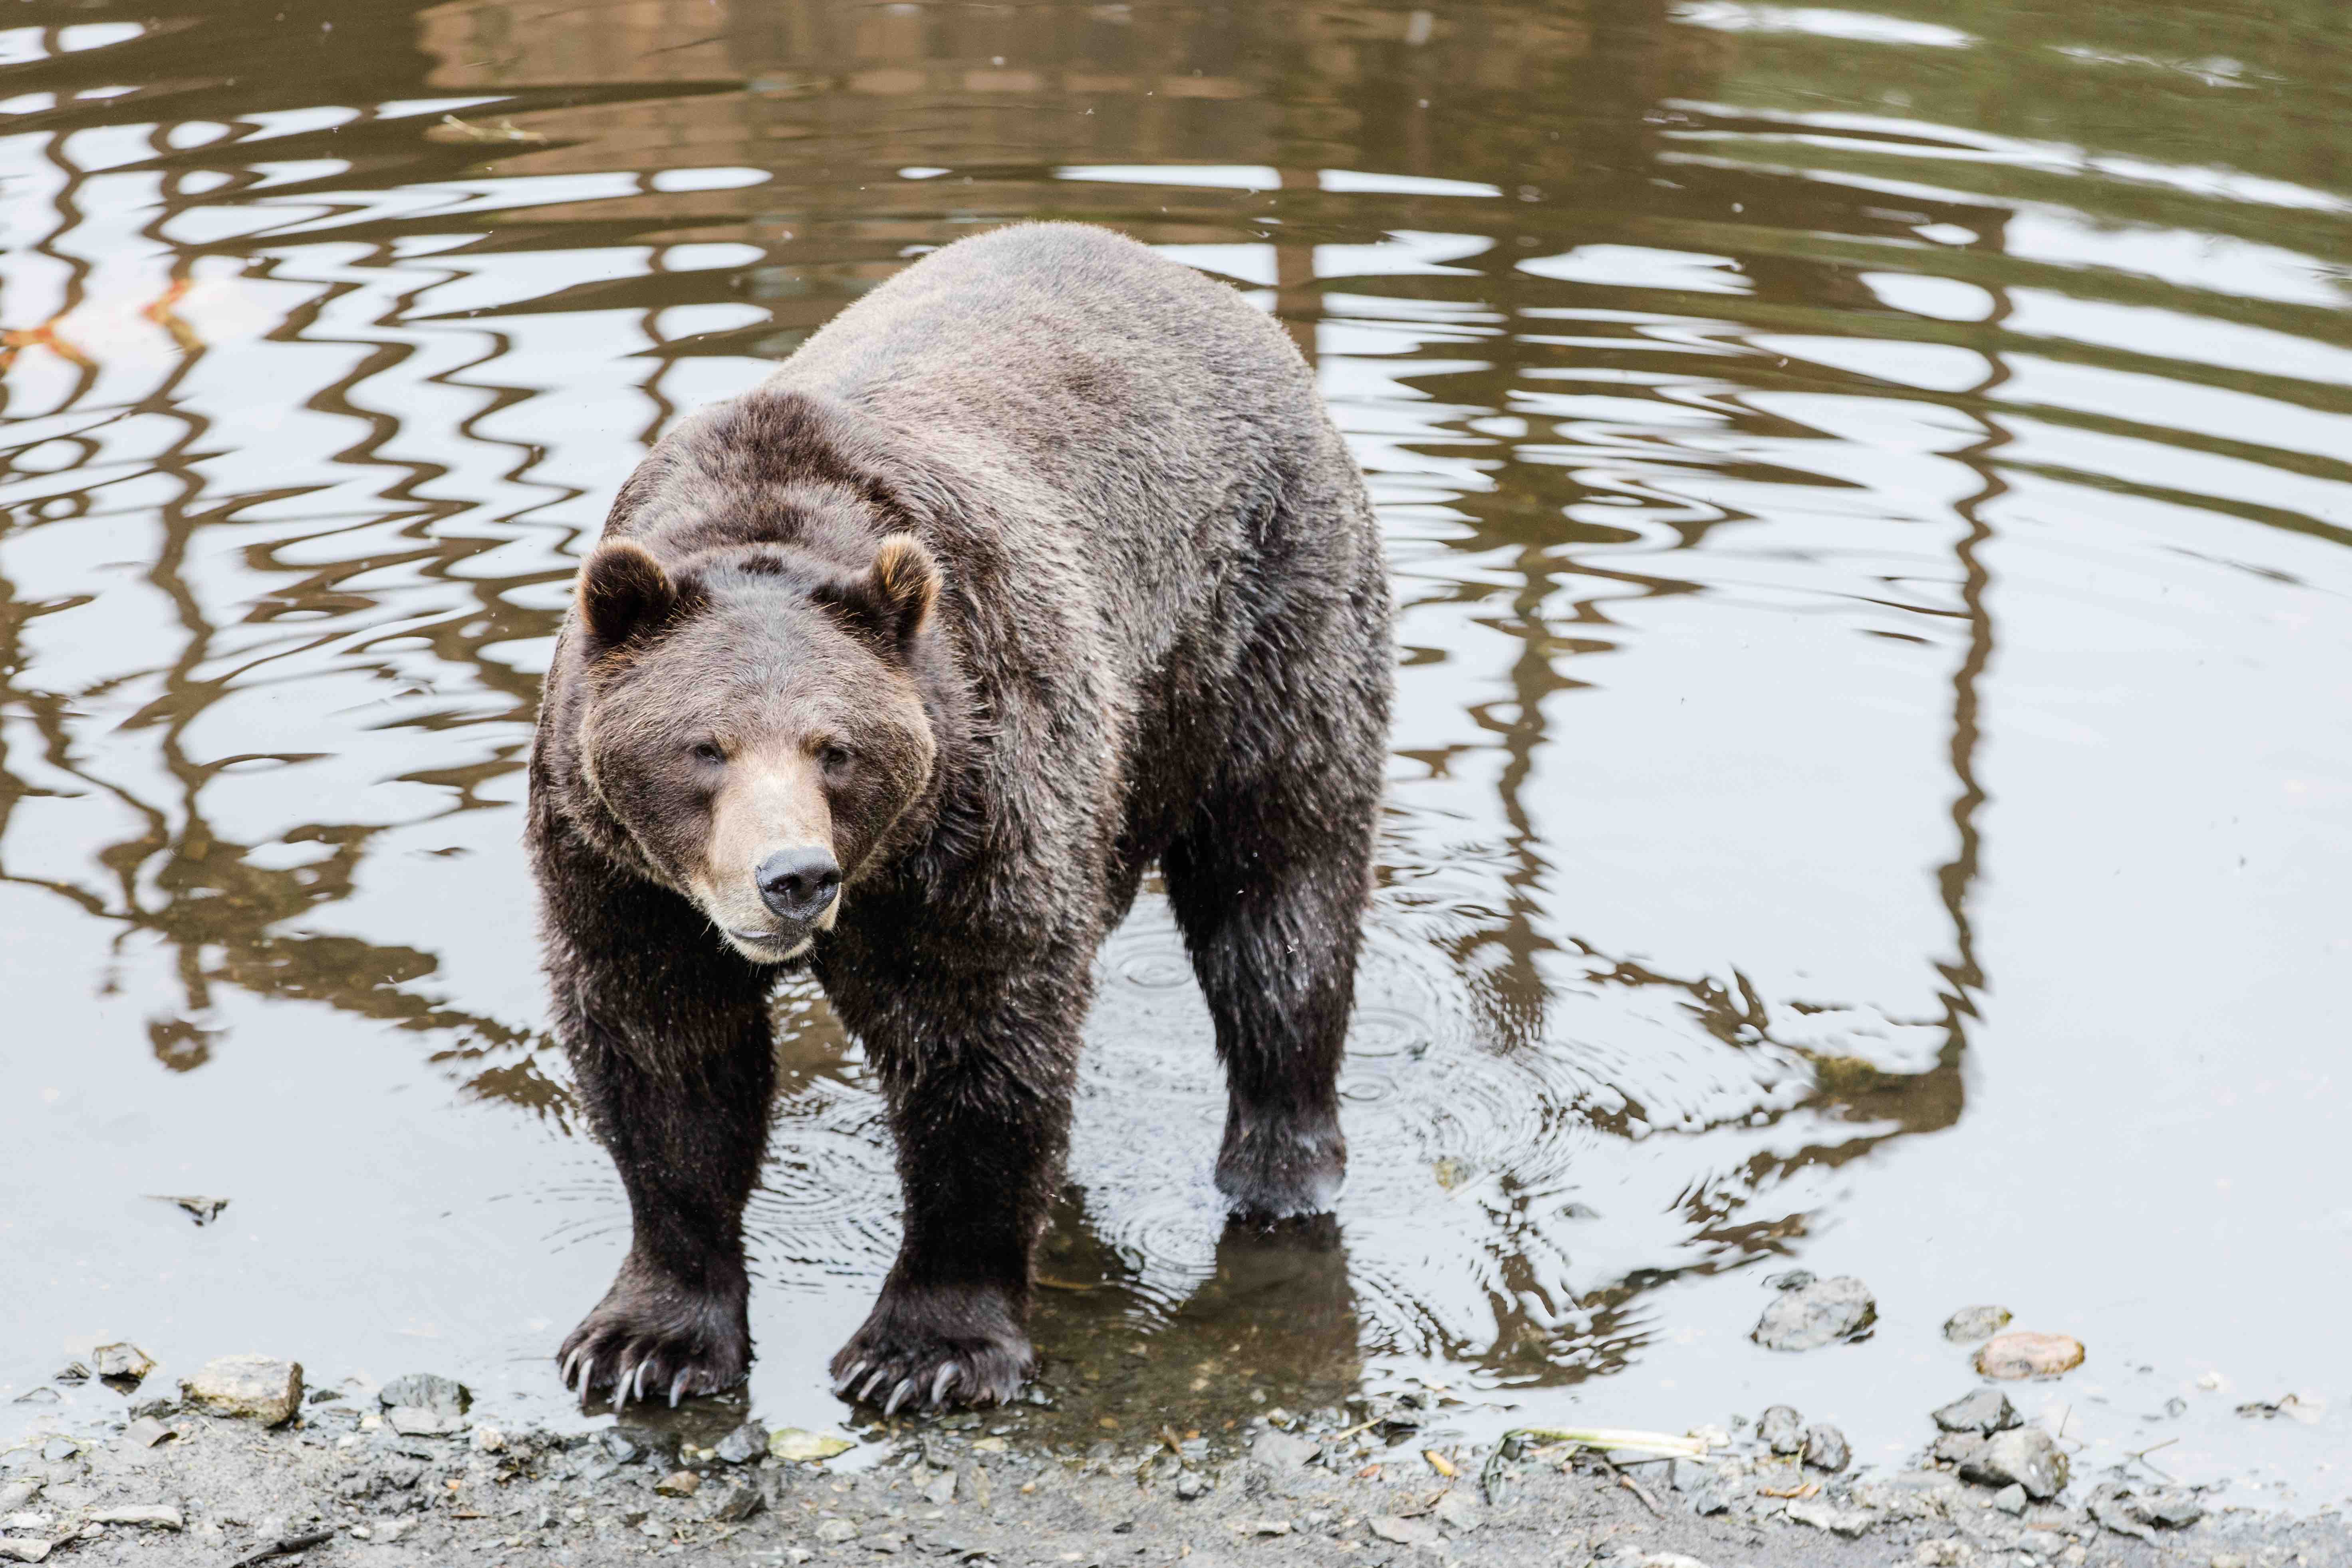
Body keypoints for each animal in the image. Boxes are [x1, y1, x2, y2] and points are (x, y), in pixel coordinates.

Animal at [524, 221, 1383, 1410]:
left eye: (836, 747)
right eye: (705, 746)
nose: (793, 875)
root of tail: (1199, 283)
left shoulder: (974, 803)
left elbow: (979, 1044)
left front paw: (924, 1348)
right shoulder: (617, 868)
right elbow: (663, 1057)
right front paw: (645, 1337)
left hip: (1260, 633)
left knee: (1279, 901)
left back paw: (1277, 1167)